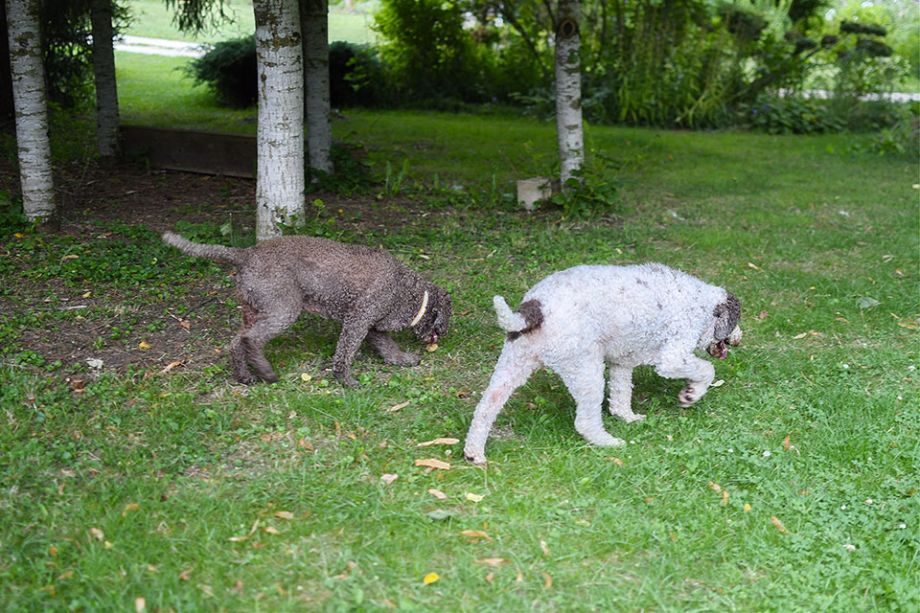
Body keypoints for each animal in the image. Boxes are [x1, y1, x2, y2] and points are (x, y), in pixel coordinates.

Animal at [464, 262, 744, 464]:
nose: (739, 339)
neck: (702, 305)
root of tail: (535, 309)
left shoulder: (622, 362)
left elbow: (620, 394)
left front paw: (628, 418)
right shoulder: (673, 356)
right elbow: (706, 369)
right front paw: (690, 394)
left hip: (512, 364)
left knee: (484, 409)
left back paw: (474, 453)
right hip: (586, 370)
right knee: (585, 421)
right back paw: (608, 442)